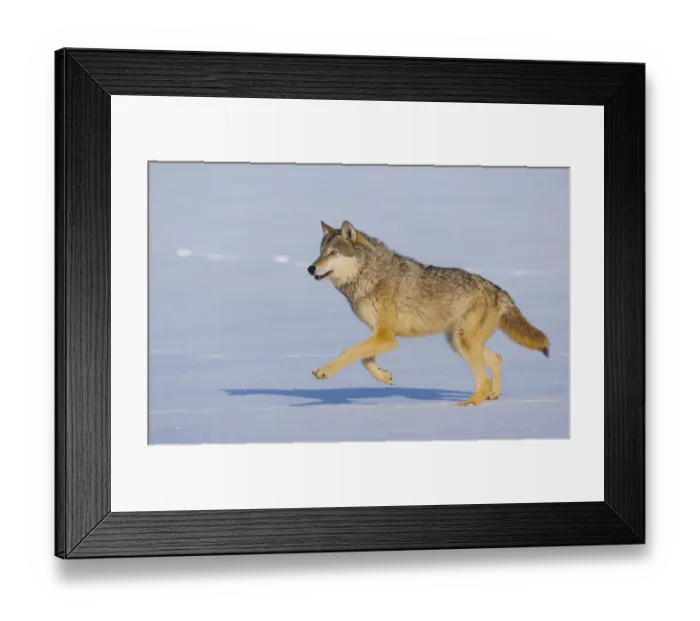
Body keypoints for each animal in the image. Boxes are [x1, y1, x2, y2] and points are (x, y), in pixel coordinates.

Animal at [306, 220, 550, 407]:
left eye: (333, 253)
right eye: (319, 253)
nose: (310, 268)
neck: (370, 276)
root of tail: (498, 290)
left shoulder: (386, 337)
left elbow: (349, 351)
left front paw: (324, 371)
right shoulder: (380, 335)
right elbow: (365, 360)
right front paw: (384, 376)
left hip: (463, 343)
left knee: (482, 378)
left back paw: (468, 405)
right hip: (458, 342)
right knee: (497, 359)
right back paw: (492, 396)